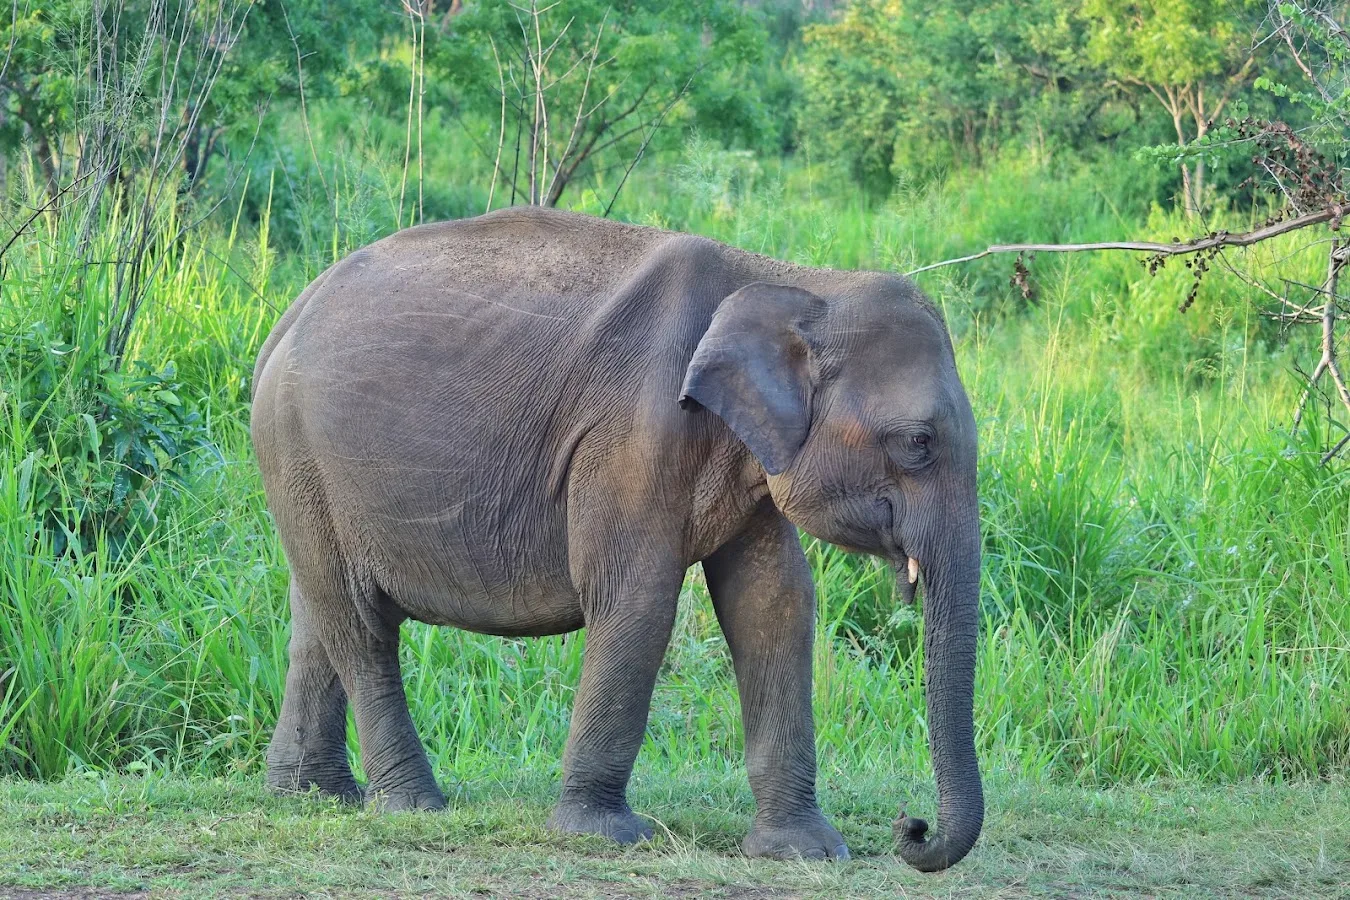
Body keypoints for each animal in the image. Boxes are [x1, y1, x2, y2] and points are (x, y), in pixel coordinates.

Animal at [249, 206, 983, 871]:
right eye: (917, 443)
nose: (911, 827)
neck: (796, 281)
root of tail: (287, 317)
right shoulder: (632, 432)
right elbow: (637, 598)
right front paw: (604, 836)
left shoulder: (751, 445)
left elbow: (773, 604)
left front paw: (806, 852)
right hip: (302, 451)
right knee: (361, 623)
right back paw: (411, 806)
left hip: (304, 472)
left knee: (318, 614)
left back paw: (311, 797)